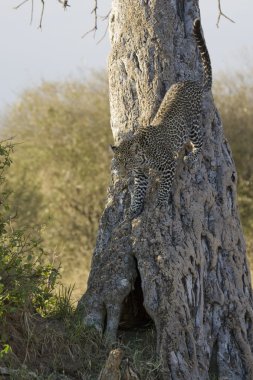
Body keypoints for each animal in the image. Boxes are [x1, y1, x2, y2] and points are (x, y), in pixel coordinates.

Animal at [110, 18, 211, 220]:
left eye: (126, 163)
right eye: (118, 162)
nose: (122, 175)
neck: (142, 157)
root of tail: (193, 82)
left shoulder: (168, 164)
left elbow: (164, 186)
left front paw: (161, 203)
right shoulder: (140, 175)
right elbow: (138, 193)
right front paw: (133, 210)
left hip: (193, 125)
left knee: (200, 142)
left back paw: (192, 157)